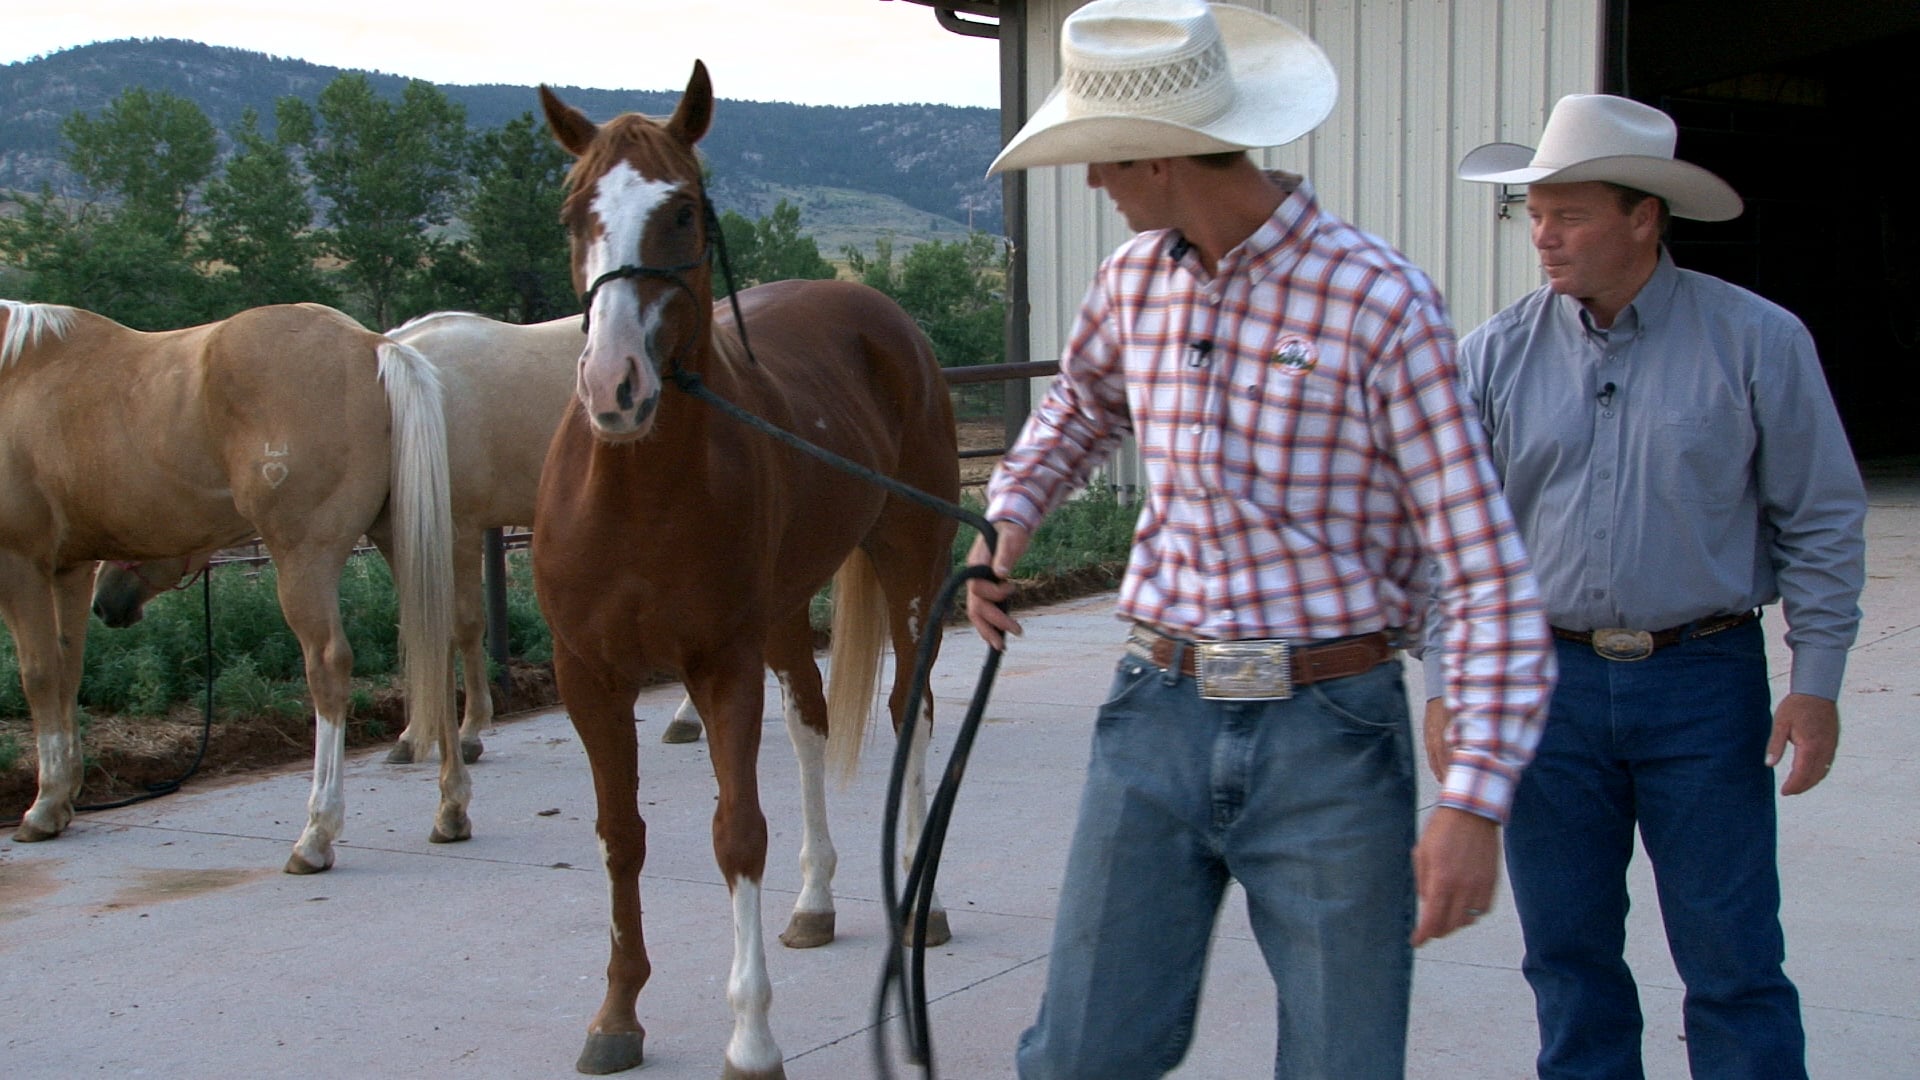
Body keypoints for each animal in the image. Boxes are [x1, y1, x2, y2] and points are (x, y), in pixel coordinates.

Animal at [0, 299, 468, 873]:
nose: (107, 601)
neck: (16, 374)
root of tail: (370, 346)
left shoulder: (20, 563)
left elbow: (39, 676)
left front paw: (43, 808)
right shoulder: (68, 569)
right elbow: (68, 674)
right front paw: (64, 796)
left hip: (303, 559)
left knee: (328, 666)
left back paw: (316, 834)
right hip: (397, 537)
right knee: (436, 646)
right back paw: (451, 810)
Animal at [532, 66, 960, 1077]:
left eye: (683, 210)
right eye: (574, 212)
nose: (614, 385)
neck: (634, 489)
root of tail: (878, 315)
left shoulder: (719, 663)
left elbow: (738, 834)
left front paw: (753, 1035)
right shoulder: (587, 674)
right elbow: (621, 835)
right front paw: (617, 1014)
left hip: (910, 560)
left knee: (909, 709)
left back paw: (921, 909)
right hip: (783, 610)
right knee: (810, 720)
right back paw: (815, 904)